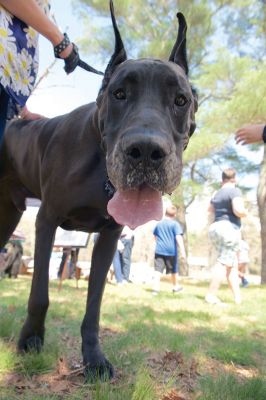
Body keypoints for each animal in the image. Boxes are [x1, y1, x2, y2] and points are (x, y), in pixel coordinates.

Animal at [0, 0, 197, 382]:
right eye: (119, 94)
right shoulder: (46, 220)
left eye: (181, 100)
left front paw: (93, 358)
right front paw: (30, 341)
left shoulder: (109, 236)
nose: (145, 151)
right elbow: (40, 294)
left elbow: (94, 305)